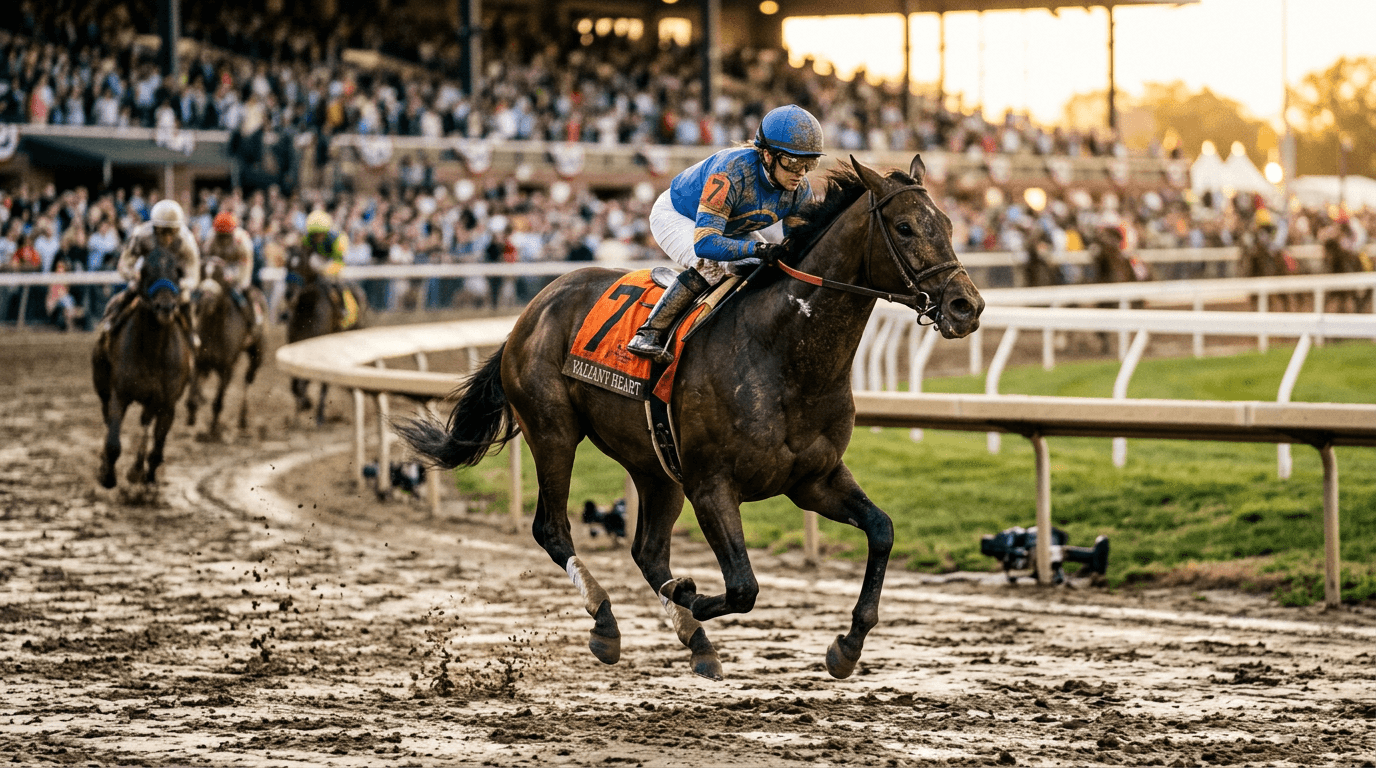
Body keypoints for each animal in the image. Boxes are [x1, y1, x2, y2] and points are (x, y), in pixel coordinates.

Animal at [91, 246, 195, 489]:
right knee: (107, 416)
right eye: (146, 271)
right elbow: (113, 442)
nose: (165, 307)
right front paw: (107, 475)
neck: (153, 352)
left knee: (146, 424)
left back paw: (137, 469)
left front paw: (146, 478)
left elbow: (157, 448)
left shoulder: (167, 403)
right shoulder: (120, 394)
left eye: (177, 272)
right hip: (102, 385)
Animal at [186, 257, 265, 438]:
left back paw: (242, 419)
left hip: (257, 354)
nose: (205, 300)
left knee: (248, 379)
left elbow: (218, 401)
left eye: (219, 276)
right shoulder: (200, 362)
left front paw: (213, 428)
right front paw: (191, 418)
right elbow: (191, 397)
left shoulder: (227, 369)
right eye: (202, 274)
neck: (214, 330)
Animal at [283, 248, 365, 425]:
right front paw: (300, 409)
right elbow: (294, 384)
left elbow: (307, 380)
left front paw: (307, 403)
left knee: (325, 383)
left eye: (301, 265)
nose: (289, 294)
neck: (307, 308)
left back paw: (321, 415)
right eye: (286, 265)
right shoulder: (294, 344)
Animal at [399, 155, 984, 680]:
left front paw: (848, 645)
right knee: (553, 529)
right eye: (905, 227)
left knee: (648, 551)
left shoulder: (813, 479)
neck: (783, 354)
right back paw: (607, 624)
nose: (967, 306)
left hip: (655, 465)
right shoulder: (711, 484)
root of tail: (533, 307)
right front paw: (689, 593)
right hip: (553, 431)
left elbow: (882, 530)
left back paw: (696, 642)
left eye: (949, 224)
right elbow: (744, 587)